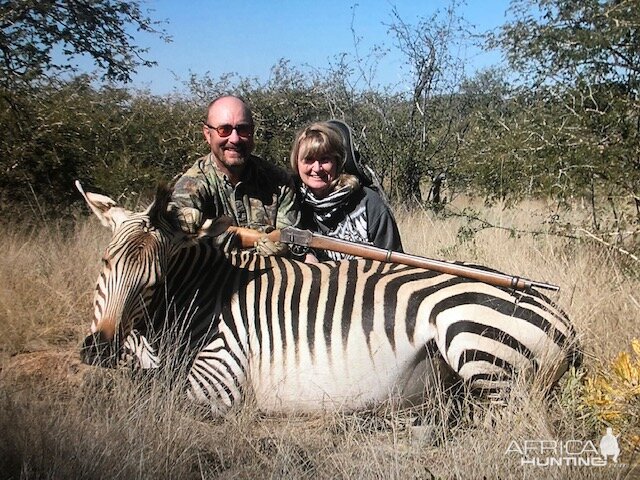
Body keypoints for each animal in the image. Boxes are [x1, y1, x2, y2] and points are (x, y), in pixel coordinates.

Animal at [75, 182, 580, 414]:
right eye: (104, 263)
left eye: (154, 281)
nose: (98, 349)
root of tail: (563, 319)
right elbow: (130, 379)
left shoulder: (219, 379)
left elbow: (148, 391)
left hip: (472, 339)